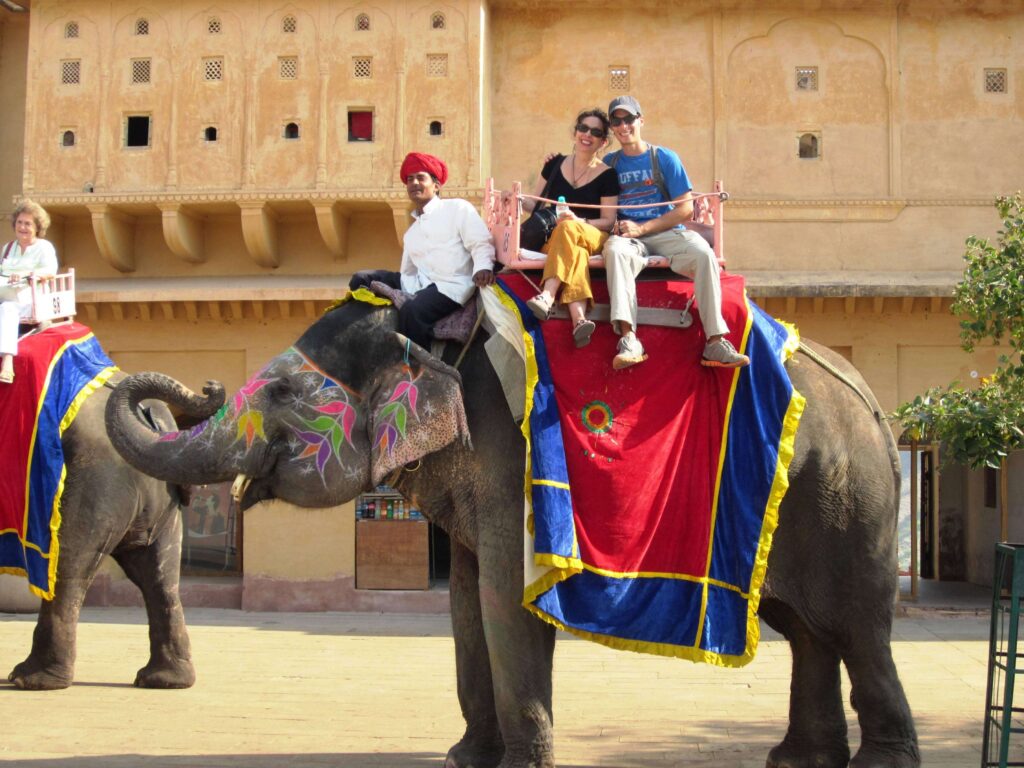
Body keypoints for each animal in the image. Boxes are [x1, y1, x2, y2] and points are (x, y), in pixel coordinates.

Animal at [6, 372, 210, 691]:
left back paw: (32, 679)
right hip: (158, 497)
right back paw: (165, 680)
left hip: (95, 478)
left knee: (69, 565)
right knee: (158, 576)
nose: (208, 386)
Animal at [104, 295, 920, 768]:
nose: (205, 385)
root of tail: (882, 415)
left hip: (846, 501)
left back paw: (879, 763)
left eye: (278, 392)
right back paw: (797, 761)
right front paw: (466, 758)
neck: (429, 338)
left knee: (855, 628)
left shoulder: (509, 455)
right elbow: (466, 601)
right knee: (808, 629)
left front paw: (518, 766)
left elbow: (504, 596)